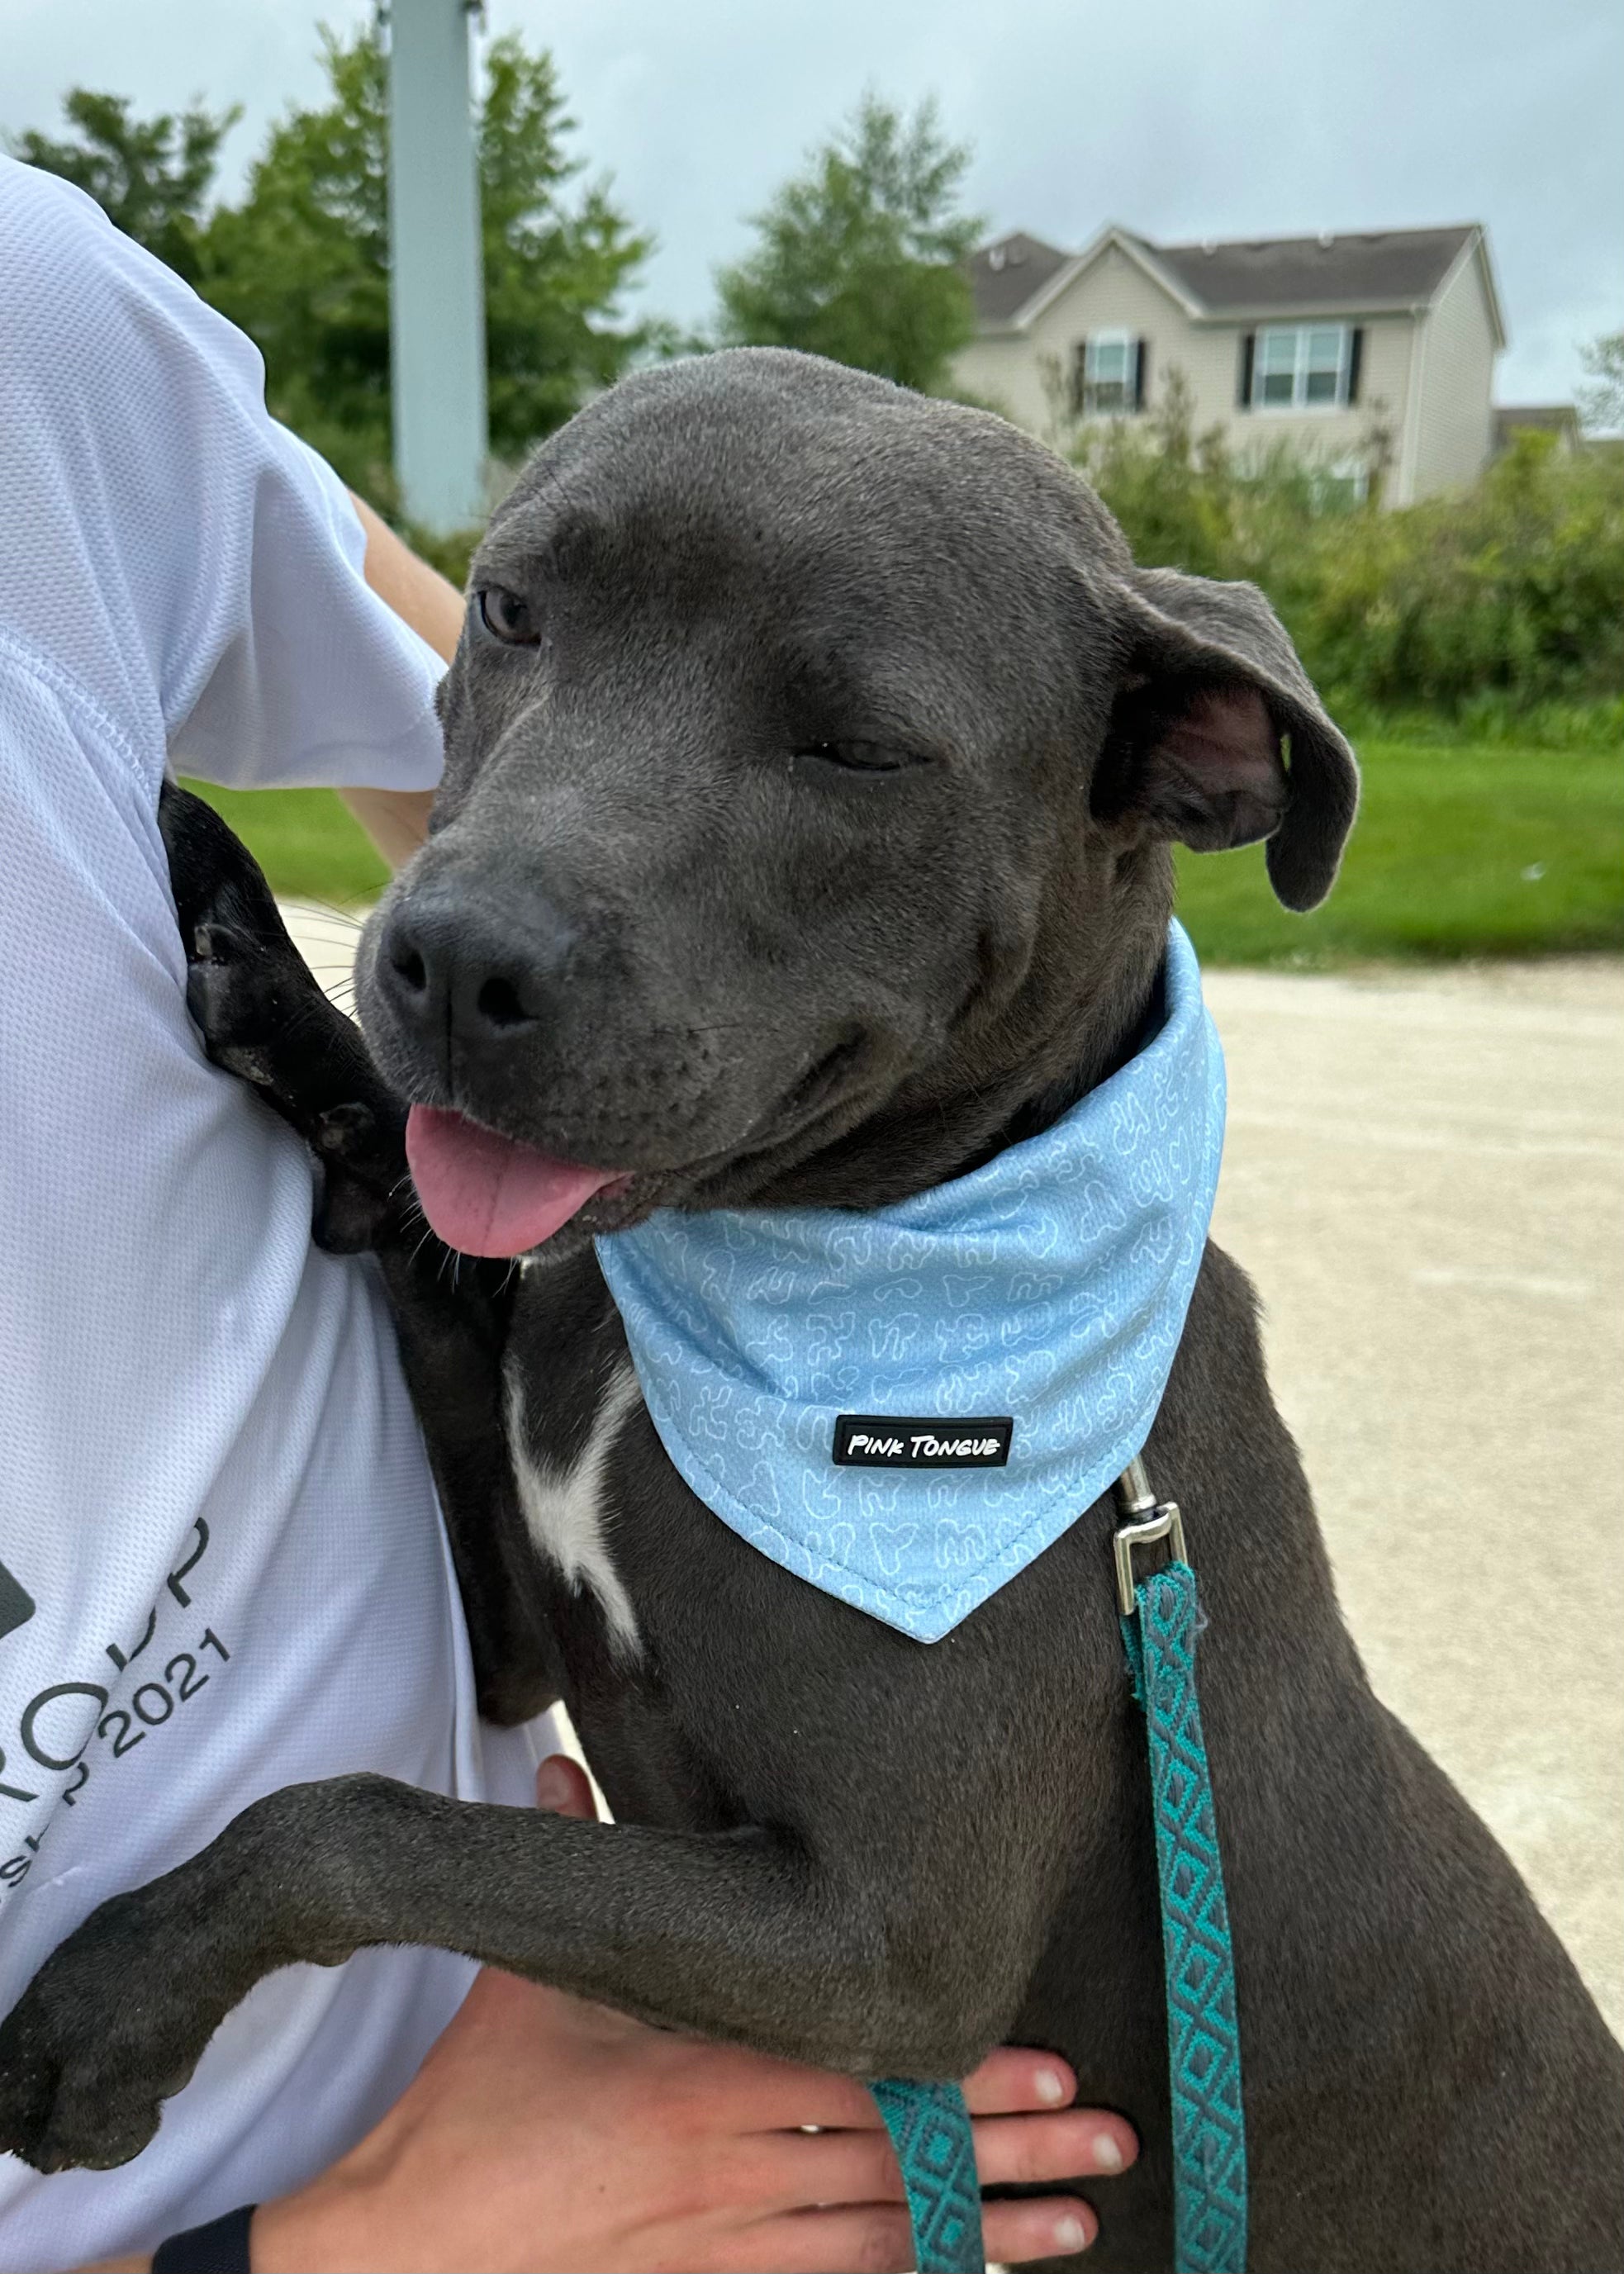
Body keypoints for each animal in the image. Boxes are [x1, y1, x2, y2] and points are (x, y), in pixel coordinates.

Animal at [2, 340, 1619, 2274]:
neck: (759, 1286)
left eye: (857, 748)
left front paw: (117, 2000)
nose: (454, 962)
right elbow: (423, 1261)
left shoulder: (880, 1946)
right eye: (510, 607)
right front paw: (267, 976)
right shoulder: (523, 1630)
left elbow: (355, 1821)